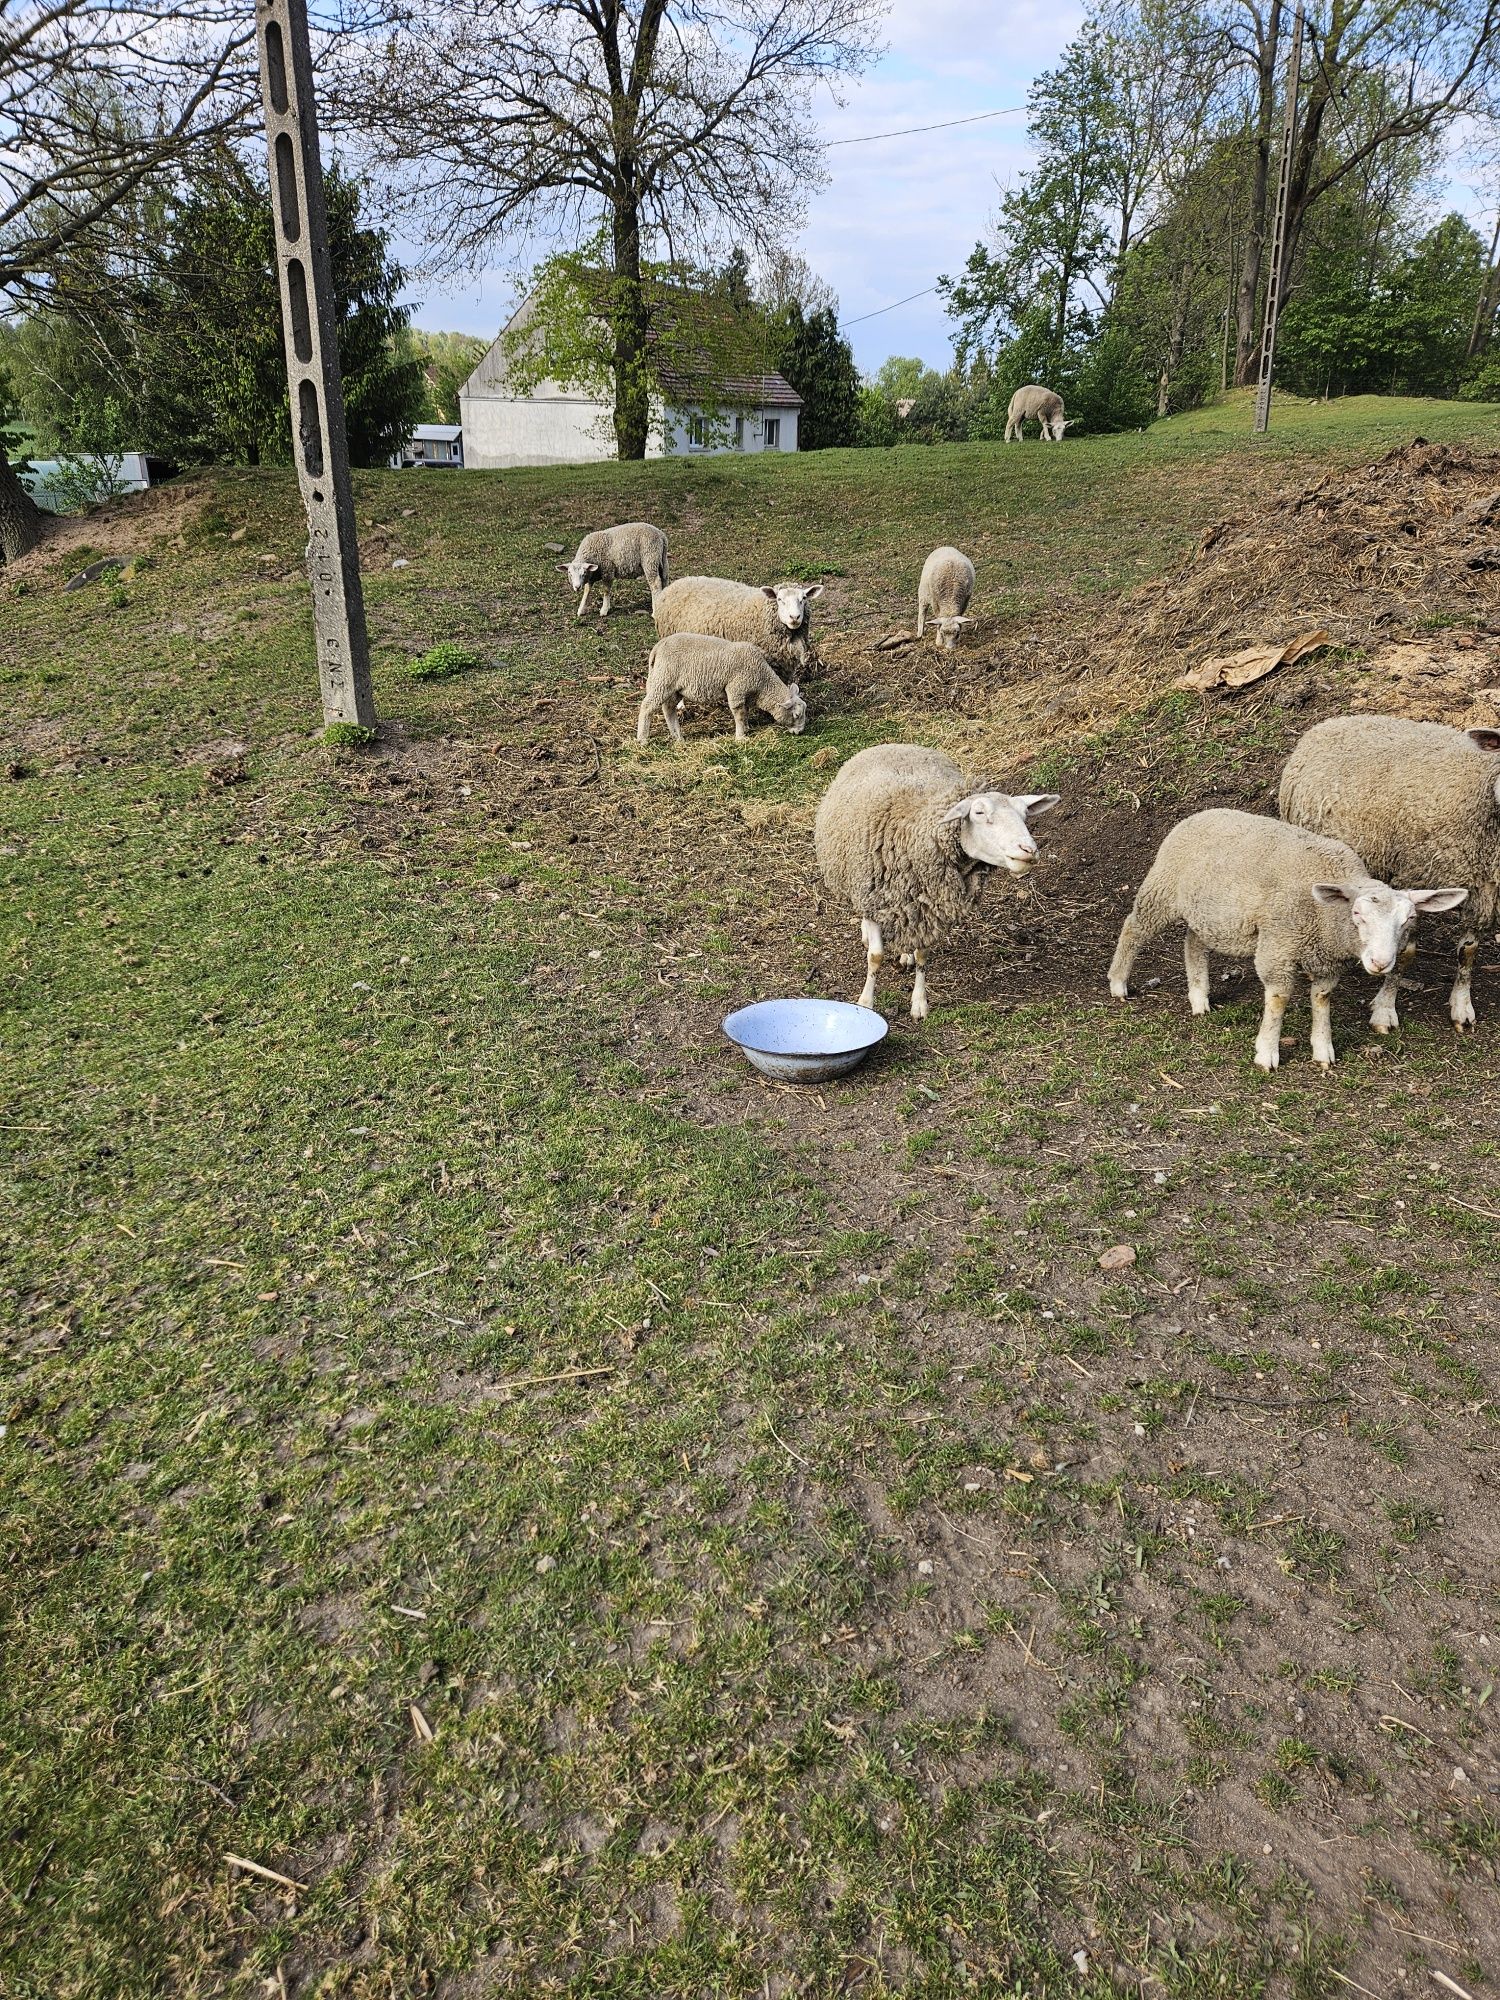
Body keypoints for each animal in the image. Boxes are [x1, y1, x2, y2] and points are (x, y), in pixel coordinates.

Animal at [644, 636, 812, 748]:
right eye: (796, 715)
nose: (800, 732)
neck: (762, 682)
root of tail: (657, 647)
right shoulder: (736, 689)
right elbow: (739, 712)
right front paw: (741, 737)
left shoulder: (745, 692)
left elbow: (746, 711)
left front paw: (746, 727)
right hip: (663, 680)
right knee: (647, 706)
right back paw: (643, 739)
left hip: (673, 687)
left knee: (668, 709)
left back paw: (677, 737)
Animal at [816, 740, 1064, 1016]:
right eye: (979, 813)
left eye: (1024, 815)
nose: (1028, 851)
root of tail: (896, 743)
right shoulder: (872, 898)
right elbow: (876, 956)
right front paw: (866, 1002)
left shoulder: (929, 908)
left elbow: (923, 956)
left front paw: (919, 1003)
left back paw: (906, 955)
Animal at [1104, 804, 1472, 1072]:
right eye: (1357, 914)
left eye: (1408, 919)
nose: (1381, 963)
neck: (1325, 913)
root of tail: (1199, 815)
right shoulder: (1278, 947)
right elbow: (1278, 999)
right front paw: (1267, 1053)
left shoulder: (1327, 961)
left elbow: (1322, 999)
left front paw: (1323, 1050)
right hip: (1162, 891)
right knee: (1134, 928)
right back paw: (1119, 983)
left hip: (1210, 914)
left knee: (1194, 943)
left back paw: (1199, 998)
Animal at [1280, 716, 1500, 1032]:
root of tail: (1332, 722)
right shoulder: (1412, 875)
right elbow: (1405, 953)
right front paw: (1385, 1009)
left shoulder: (1483, 890)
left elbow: (1468, 951)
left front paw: (1461, 1006)